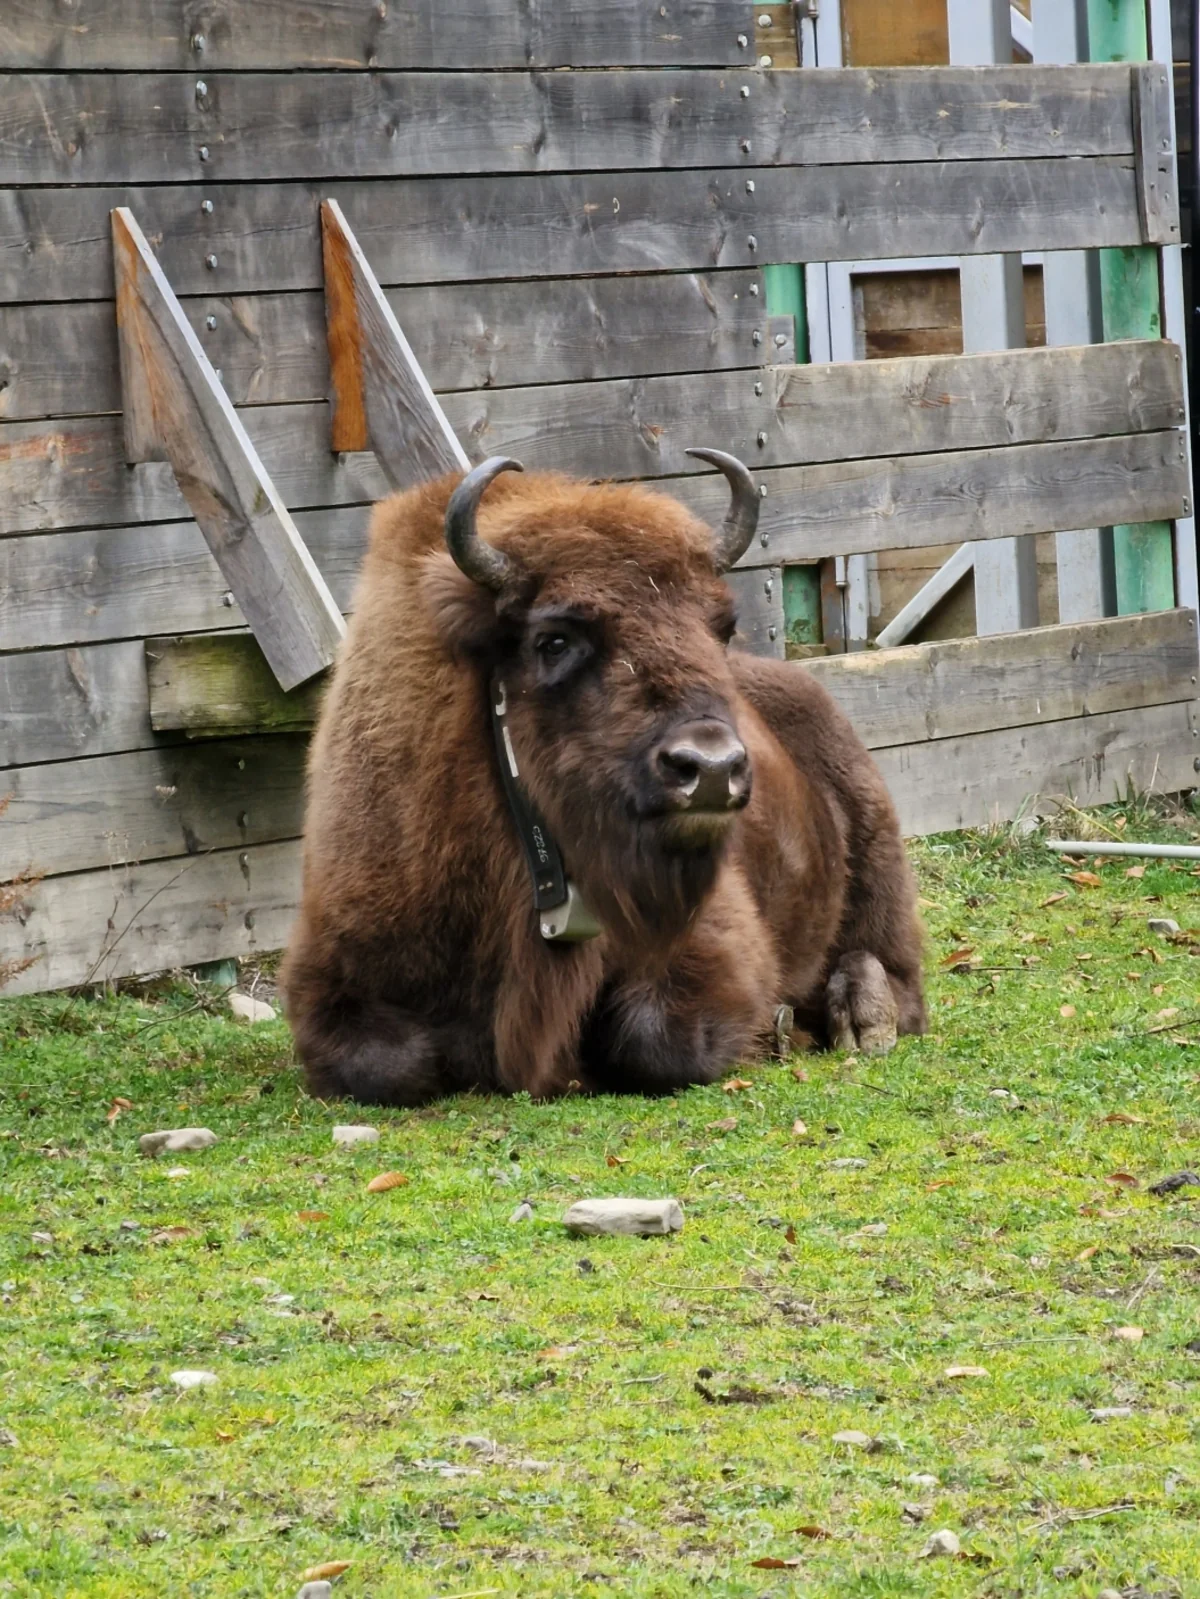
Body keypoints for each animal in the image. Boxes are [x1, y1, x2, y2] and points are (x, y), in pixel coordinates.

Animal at [281, 453, 926, 1104]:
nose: (712, 767)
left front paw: (775, 1030)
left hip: (874, 844)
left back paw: (862, 1017)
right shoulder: (333, 968)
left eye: (720, 627)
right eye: (554, 640)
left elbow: (656, 1039)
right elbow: (384, 1064)